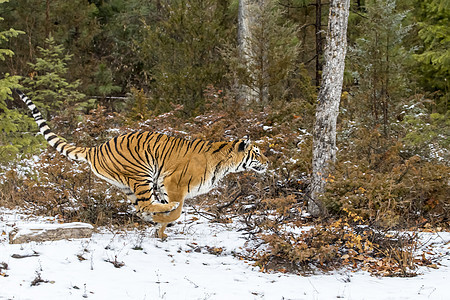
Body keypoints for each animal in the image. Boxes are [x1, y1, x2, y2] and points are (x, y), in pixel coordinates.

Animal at [14, 89, 268, 239]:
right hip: (141, 174)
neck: (224, 162)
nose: (268, 161)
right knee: (146, 206)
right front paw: (165, 222)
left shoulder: (165, 186)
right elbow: (176, 211)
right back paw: (159, 214)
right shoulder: (173, 183)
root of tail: (96, 147)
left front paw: (161, 231)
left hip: (128, 185)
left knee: (140, 208)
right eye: (257, 152)